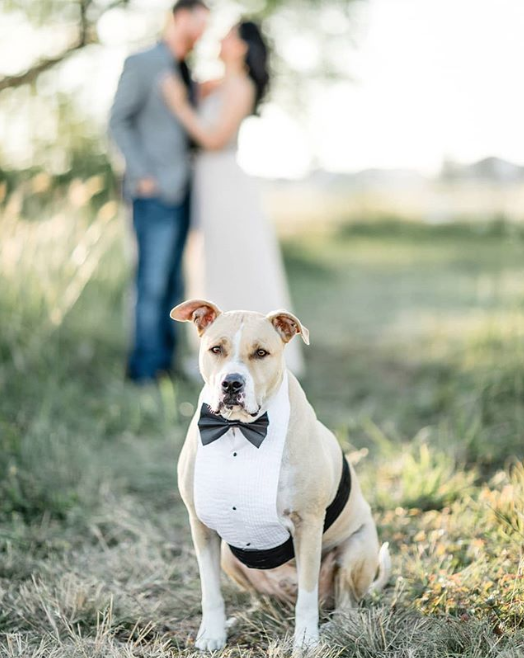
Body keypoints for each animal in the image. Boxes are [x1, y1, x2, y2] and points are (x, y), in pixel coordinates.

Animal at [172, 298, 388, 652]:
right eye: (216, 349)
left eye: (261, 353)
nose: (231, 383)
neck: (239, 430)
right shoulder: (201, 525)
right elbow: (210, 591)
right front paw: (212, 633)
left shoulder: (307, 525)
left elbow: (307, 596)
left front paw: (306, 641)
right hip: (232, 557)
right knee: (262, 598)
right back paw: (241, 618)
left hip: (356, 548)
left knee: (344, 602)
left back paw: (336, 626)